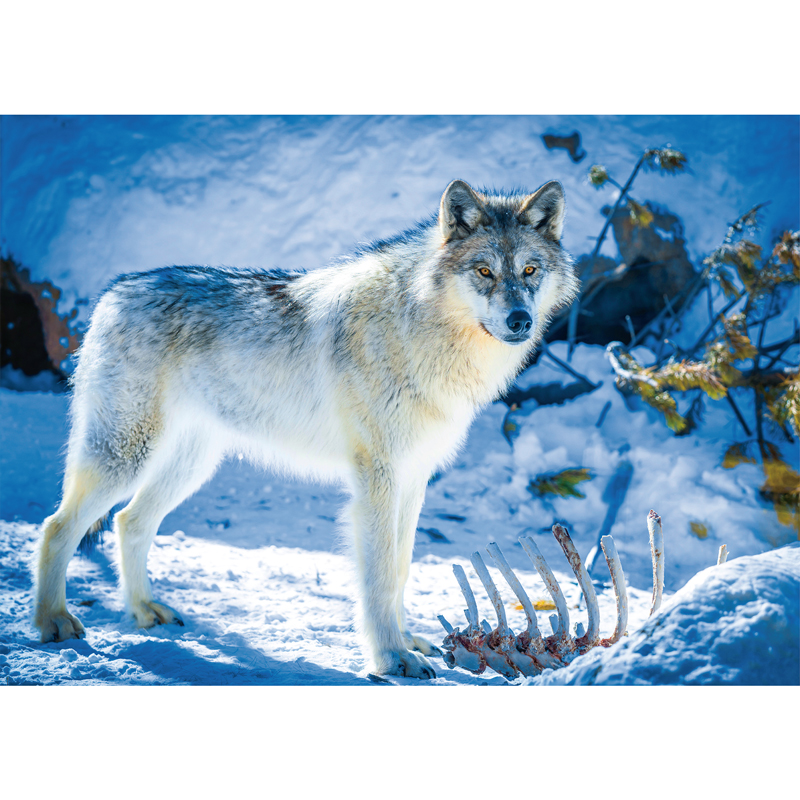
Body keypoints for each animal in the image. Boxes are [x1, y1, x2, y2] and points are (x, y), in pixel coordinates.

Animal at [33, 179, 578, 679]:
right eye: (484, 271)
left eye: (529, 271)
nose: (520, 320)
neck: (422, 331)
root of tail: (113, 293)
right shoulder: (376, 481)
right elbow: (380, 576)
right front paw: (391, 658)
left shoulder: (413, 478)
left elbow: (402, 569)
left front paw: (406, 642)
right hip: (125, 458)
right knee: (57, 526)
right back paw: (54, 621)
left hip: (188, 466)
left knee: (129, 522)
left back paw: (144, 611)